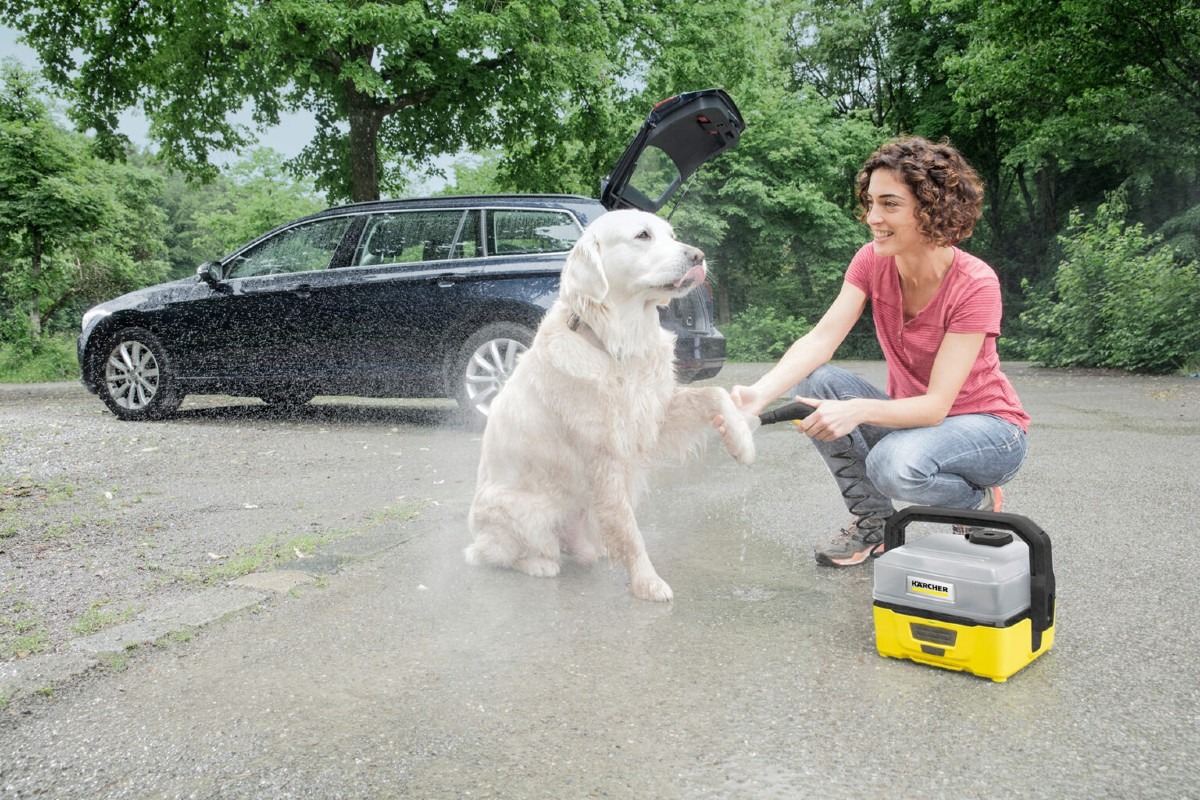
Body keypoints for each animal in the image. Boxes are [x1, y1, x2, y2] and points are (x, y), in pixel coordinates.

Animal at [463, 209, 753, 604]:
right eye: (642, 236)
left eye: (671, 234)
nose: (698, 256)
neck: (615, 343)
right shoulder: (606, 455)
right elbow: (629, 530)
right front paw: (647, 582)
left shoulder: (655, 414)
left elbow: (716, 394)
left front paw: (742, 442)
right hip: (524, 512)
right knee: (498, 554)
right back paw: (538, 563)